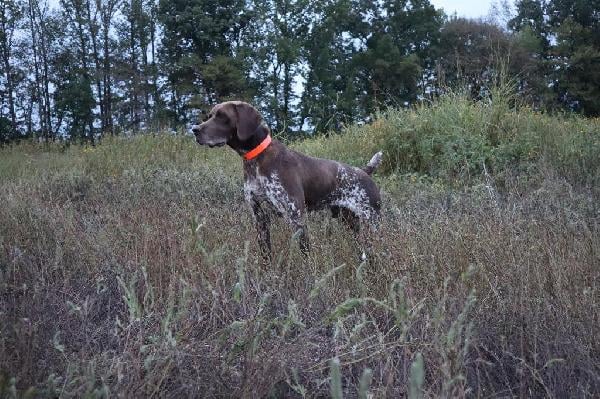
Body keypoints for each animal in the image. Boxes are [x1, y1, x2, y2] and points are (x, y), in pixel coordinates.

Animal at [193, 101, 384, 260]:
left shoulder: (296, 219)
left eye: (222, 116)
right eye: (209, 116)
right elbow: (265, 255)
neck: (256, 159)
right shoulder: (260, 219)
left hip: (373, 220)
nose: (194, 129)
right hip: (350, 223)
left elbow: (306, 257)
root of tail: (364, 171)